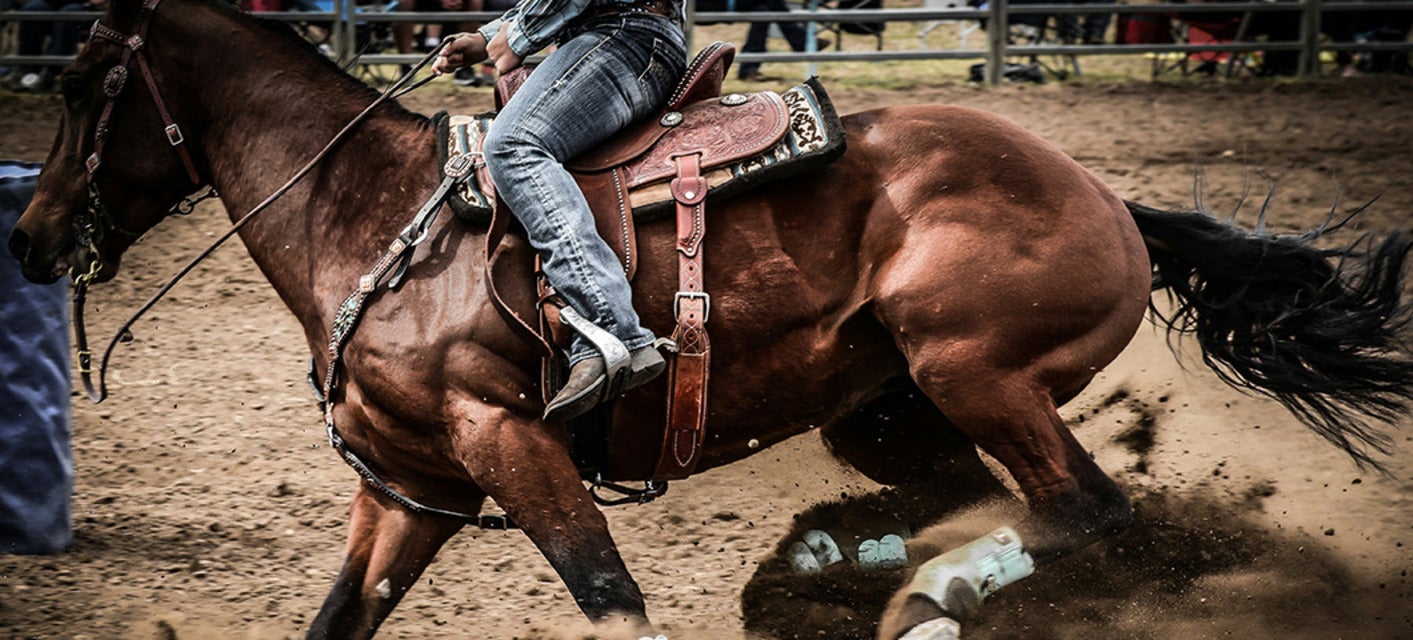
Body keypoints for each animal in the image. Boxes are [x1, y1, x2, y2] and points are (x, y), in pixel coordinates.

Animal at [8, 1, 1412, 638]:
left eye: (81, 85)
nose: (26, 239)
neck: (373, 215)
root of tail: (1108, 195)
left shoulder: (508, 444)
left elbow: (609, 598)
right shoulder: (412, 487)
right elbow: (336, 619)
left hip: (974, 366)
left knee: (1090, 509)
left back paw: (927, 587)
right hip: (892, 411)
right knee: (1013, 503)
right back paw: (849, 563)